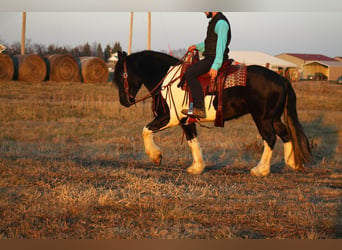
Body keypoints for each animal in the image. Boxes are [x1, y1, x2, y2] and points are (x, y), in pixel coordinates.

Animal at [113, 50, 312, 176]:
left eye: (122, 76)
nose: (124, 101)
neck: (169, 79)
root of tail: (281, 78)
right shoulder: (186, 120)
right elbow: (192, 140)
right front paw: (197, 167)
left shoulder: (170, 117)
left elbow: (145, 130)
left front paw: (156, 156)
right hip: (274, 117)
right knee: (285, 134)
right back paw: (292, 163)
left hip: (262, 118)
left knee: (270, 138)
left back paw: (260, 170)